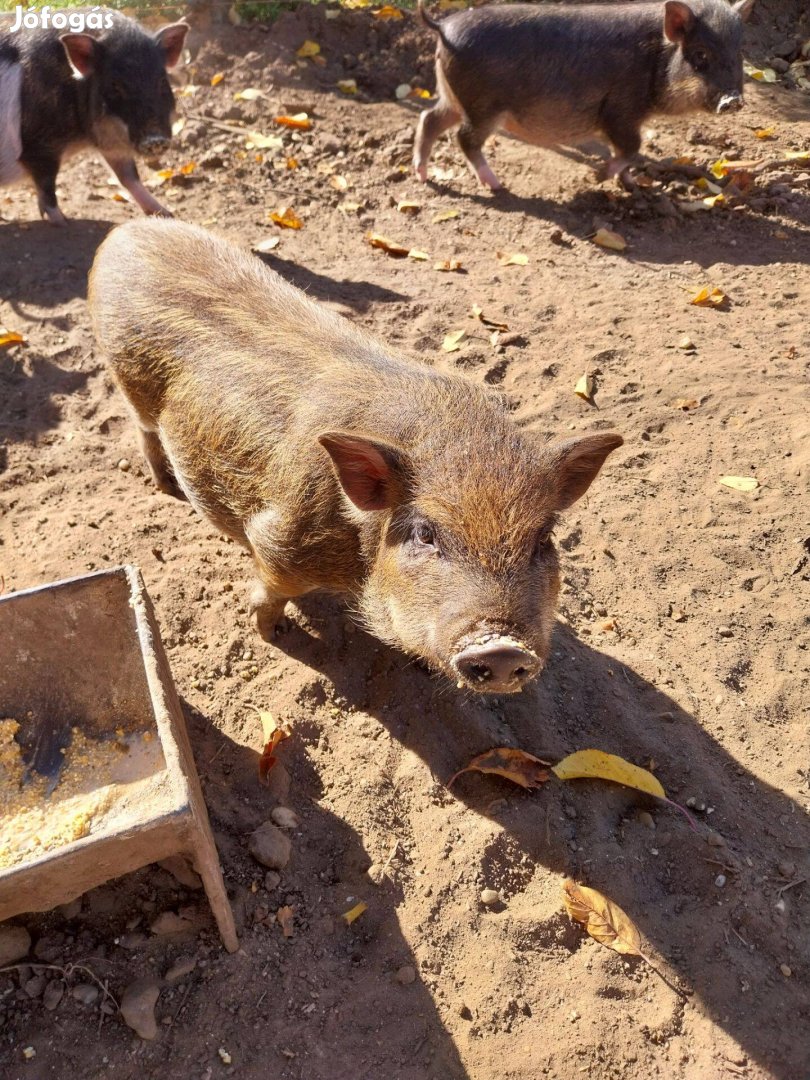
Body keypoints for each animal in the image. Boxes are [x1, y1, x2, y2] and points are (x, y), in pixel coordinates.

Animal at [0, 9, 189, 224]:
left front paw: (167, 214)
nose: (155, 139)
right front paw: (63, 221)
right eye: (115, 85)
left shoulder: (111, 143)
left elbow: (129, 177)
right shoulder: (39, 146)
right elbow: (47, 187)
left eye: (162, 82)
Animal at [87, 218, 622, 691]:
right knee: (144, 434)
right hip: (128, 382)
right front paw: (273, 633)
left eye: (544, 538)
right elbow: (270, 593)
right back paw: (166, 487)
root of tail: (125, 232)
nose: (503, 648)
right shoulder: (278, 541)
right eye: (425, 534)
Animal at [419, 0, 756, 190]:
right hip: (483, 106)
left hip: (454, 98)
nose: (733, 100)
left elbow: (629, 153)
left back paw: (422, 175)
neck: (656, 57)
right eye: (700, 54)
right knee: (464, 138)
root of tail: (444, 25)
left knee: (429, 118)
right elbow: (631, 147)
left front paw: (634, 186)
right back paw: (497, 186)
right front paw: (598, 179)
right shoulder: (620, 110)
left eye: (739, 53)